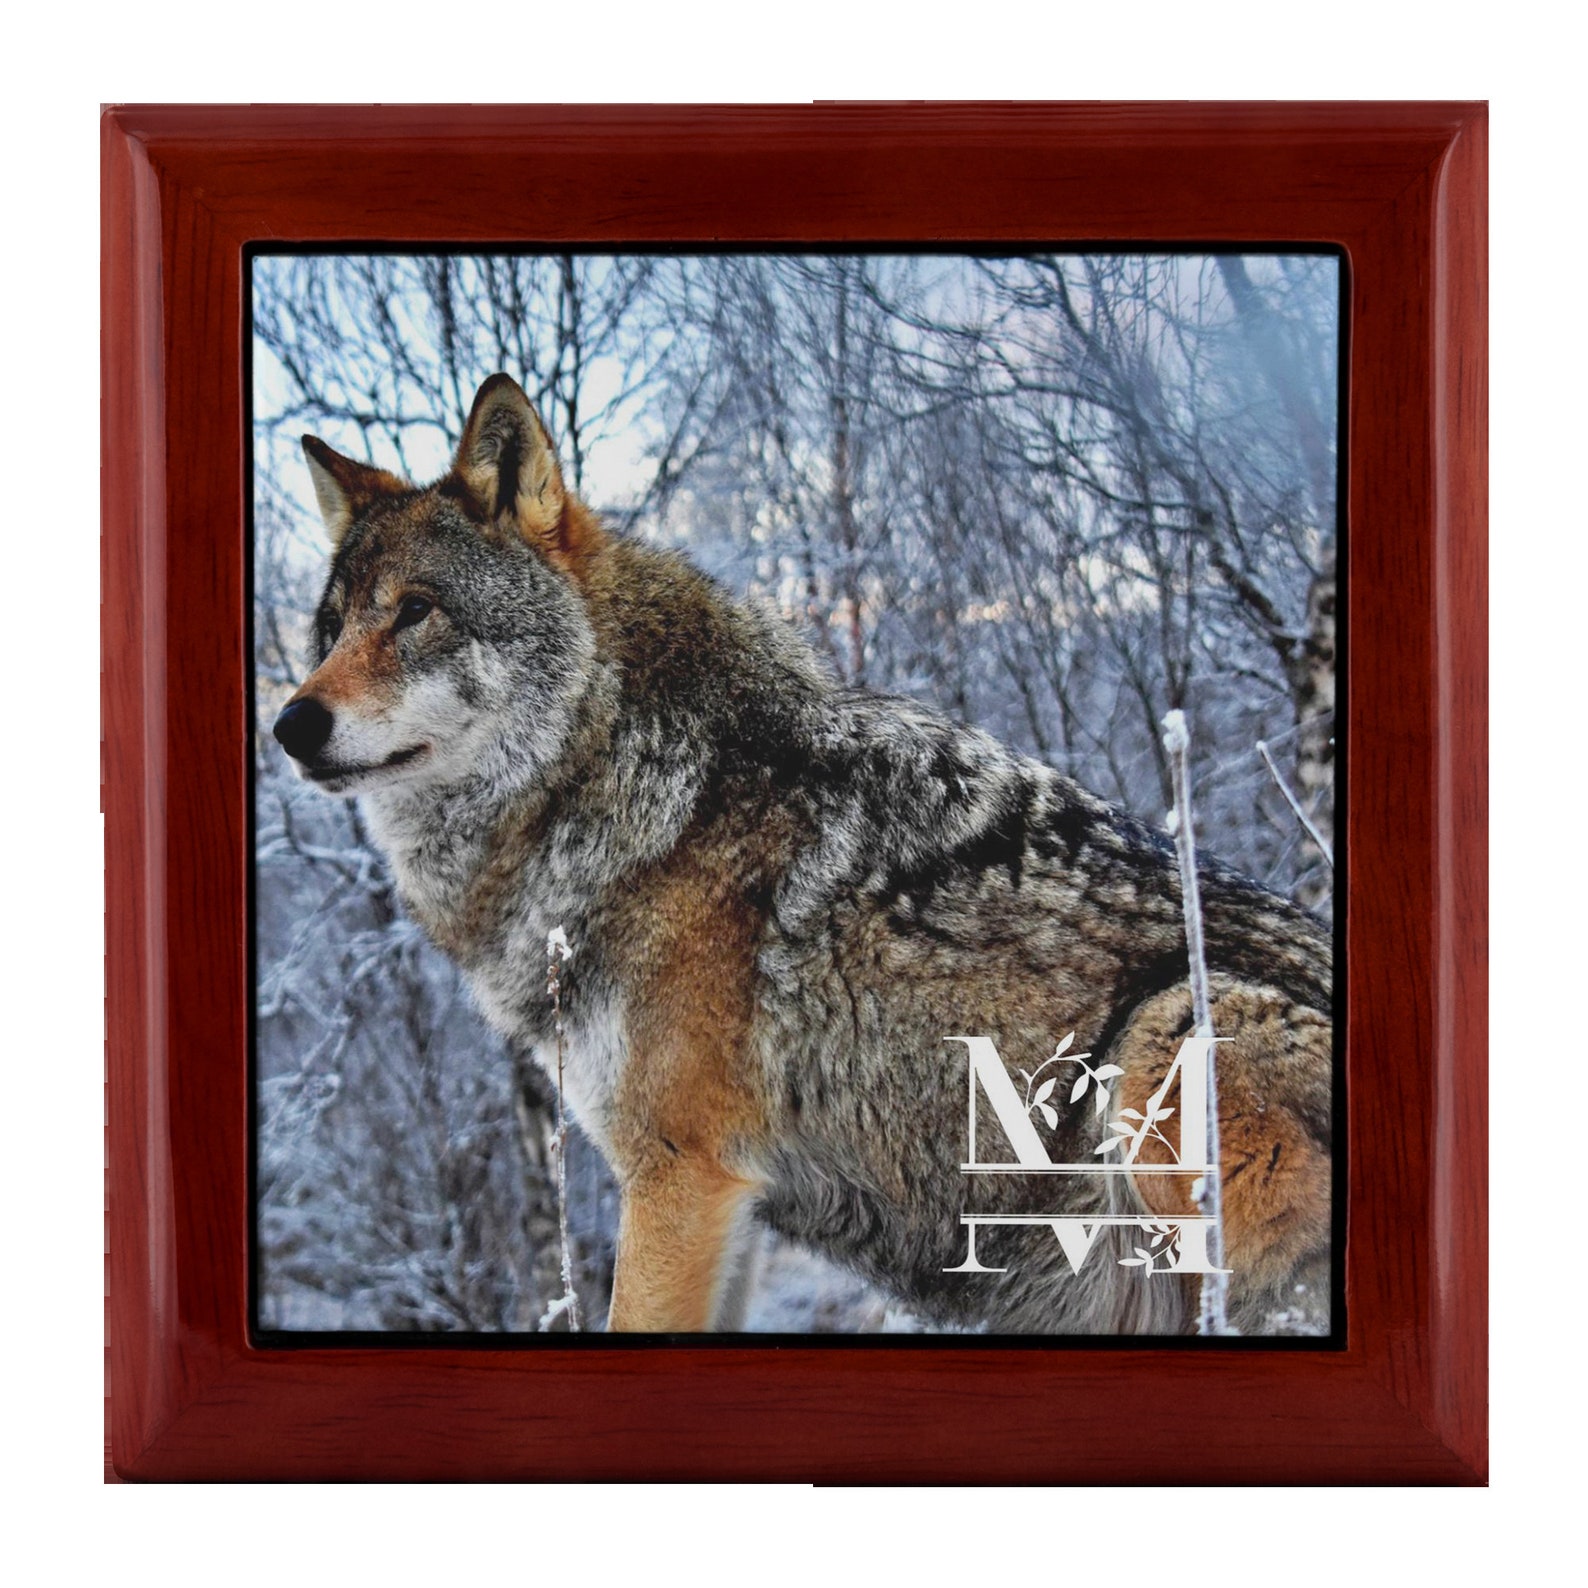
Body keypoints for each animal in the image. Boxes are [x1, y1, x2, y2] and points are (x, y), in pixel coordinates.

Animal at [274, 372, 1333, 1335]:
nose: (289, 724)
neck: (637, 785)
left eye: (416, 611)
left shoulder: (678, 1181)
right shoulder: (727, 1208)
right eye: (333, 626)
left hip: (1161, 1040)